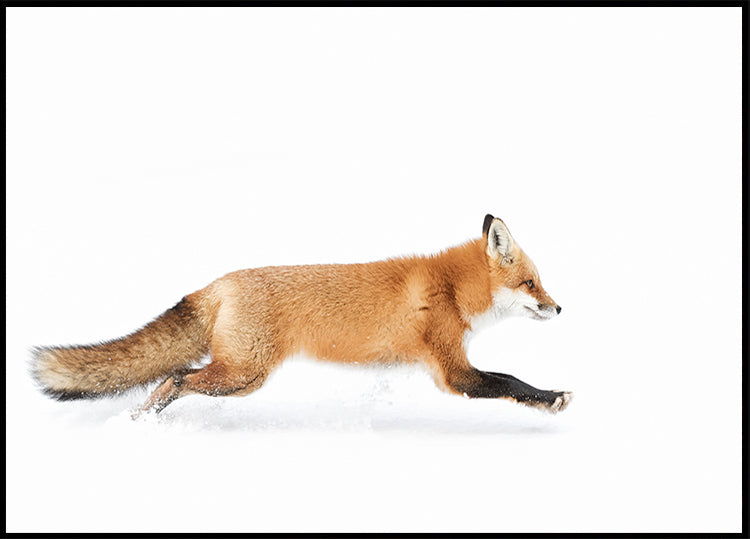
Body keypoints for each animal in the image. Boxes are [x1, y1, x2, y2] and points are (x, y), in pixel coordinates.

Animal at [31, 214, 572, 417]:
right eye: (531, 284)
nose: (559, 307)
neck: (451, 289)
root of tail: (217, 283)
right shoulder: (452, 371)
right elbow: (510, 380)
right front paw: (553, 398)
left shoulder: (449, 367)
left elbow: (507, 379)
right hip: (241, 374)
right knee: (174, 379)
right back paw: (143, 422)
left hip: (243, 380)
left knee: (175, 378)